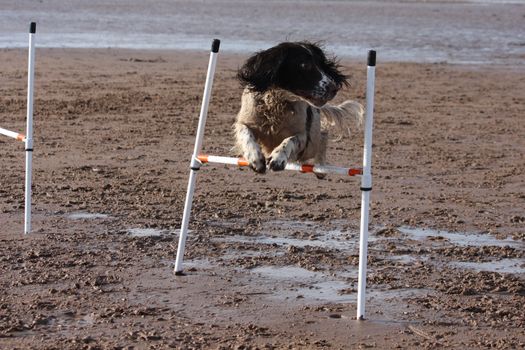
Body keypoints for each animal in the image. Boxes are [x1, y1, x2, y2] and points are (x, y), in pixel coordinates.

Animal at [234, 41, 364, 178]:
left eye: (321, 64)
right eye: (305, 65)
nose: (334, 88)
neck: (278, 103)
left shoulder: (303, 137)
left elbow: (290, 140)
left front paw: (278, 158)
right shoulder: (247, 122)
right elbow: (245, 132)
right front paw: (256, 158)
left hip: (311, 145)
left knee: (322, 137)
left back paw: (320, 168)